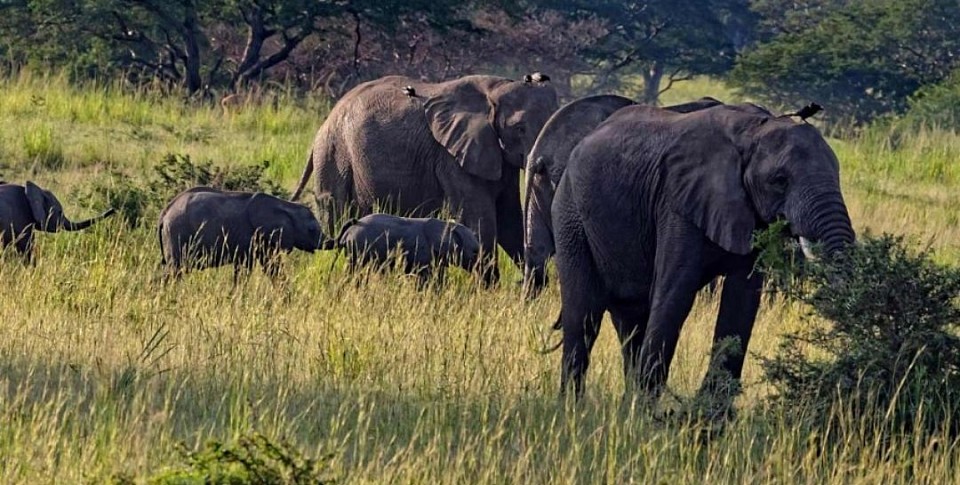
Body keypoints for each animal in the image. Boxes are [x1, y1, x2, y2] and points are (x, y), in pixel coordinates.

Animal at [158, 187, 328, 279]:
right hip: (176, 233)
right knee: (174, 270)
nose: (331, 242)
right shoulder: (254, 236)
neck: (285, 205)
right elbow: (252, 267)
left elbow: (270, 267)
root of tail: (164, 213)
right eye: (311, 230)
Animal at [552, 102, 855, 403]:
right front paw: (650, 411)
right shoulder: (677, 204)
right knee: (584, 314)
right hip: (570, 214)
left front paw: (710, 412)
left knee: (630, 319)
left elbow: (741, 300)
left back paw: (627, 402)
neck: (754, 130)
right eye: (779, 180)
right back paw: (572, 407)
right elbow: (676, 293)